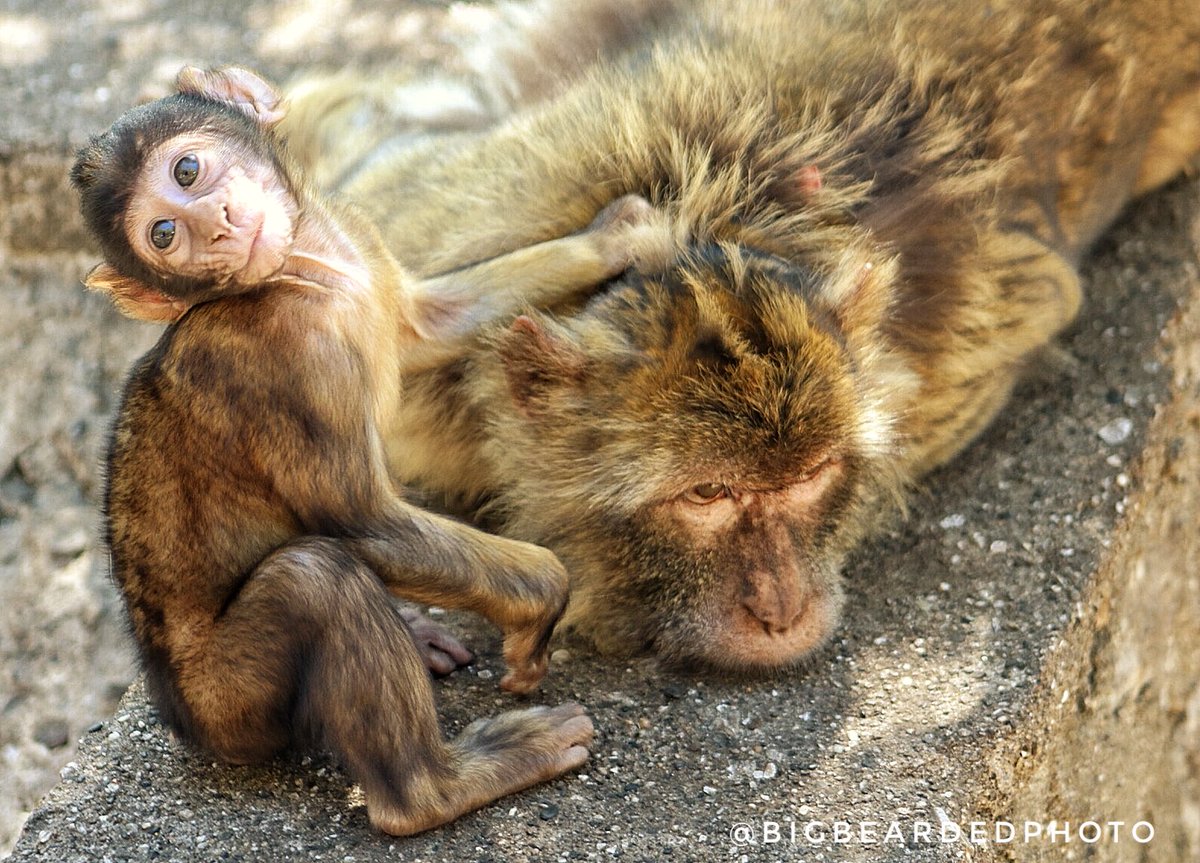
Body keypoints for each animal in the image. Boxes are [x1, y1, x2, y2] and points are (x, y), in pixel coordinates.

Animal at [70, 65, 670, 834]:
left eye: (187, 170)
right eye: (165, 235)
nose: (216, 225)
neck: (309, 269)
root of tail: (183, 716)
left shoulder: (363, 238)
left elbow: (428, 324)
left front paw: (614, 239)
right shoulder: (288, 362)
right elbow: (360, 522)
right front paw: (541, 600)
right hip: (234, 699)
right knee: (317, 579)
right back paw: (437, 788)